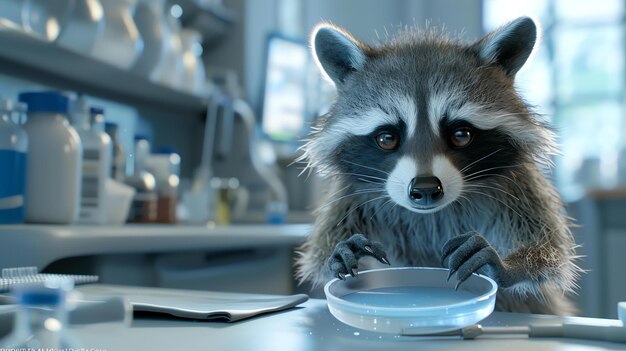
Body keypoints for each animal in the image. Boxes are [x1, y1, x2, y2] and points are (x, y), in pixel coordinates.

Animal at [294, 17, 576, 316]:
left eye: (461, 135)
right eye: (387, 138)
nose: (426, 188)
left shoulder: (516, 186)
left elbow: (548, 249)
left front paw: (509, 266)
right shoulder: (351, 194)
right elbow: (322, 256)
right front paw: (343, 257)